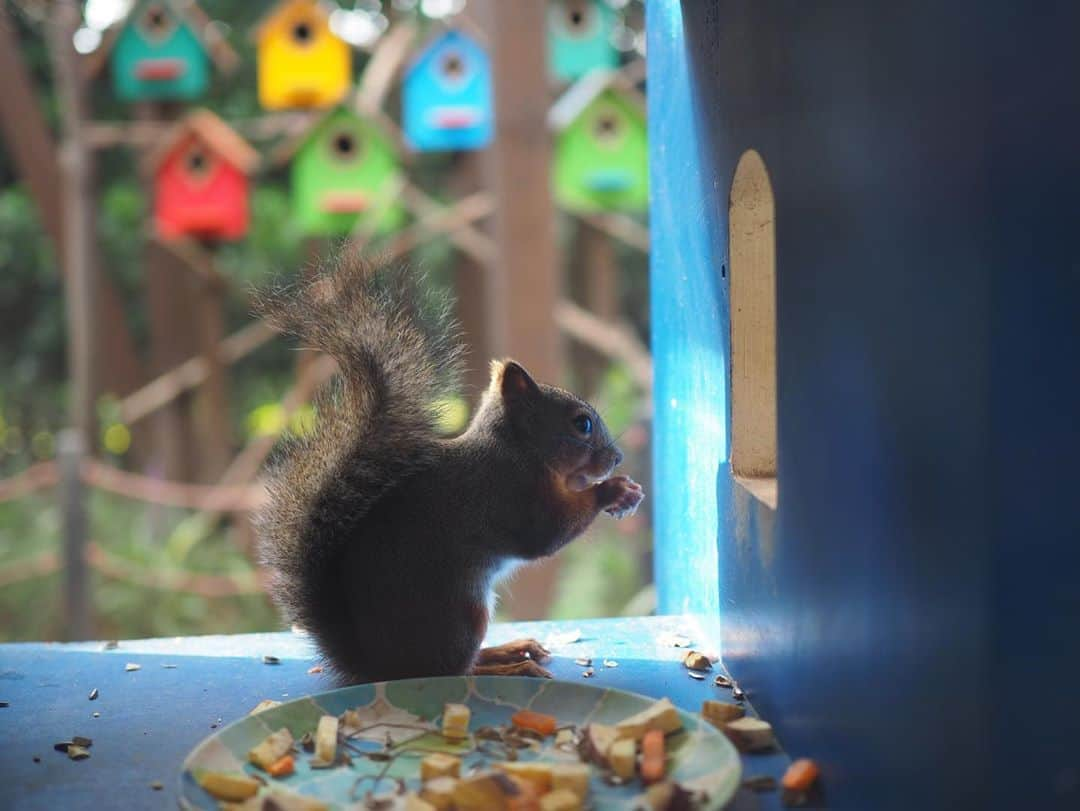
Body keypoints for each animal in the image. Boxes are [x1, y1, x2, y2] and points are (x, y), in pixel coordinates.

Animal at [252, 254, 639, 686]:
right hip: (462, 615)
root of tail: (377, 666)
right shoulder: (510, 494)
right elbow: (546, 535)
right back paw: (510, 665)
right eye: (581, 424)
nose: (617, 458)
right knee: (452, 671)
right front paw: (612, 490)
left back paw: (508, 650)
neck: (516, 449)